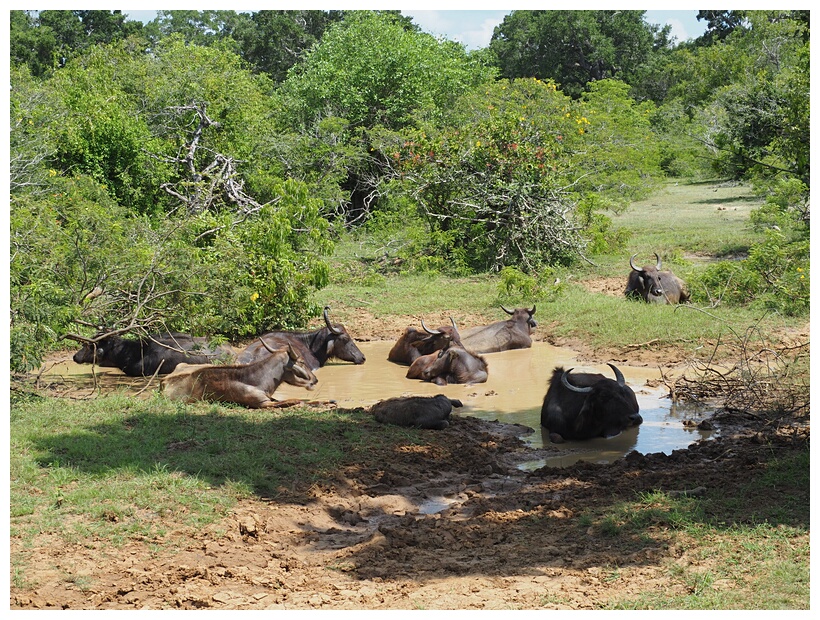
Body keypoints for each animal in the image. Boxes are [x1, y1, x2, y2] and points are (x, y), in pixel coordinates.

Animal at [160, 342, 318, 410]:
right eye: (301, 361)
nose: (315, 380)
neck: (255, 379)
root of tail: (163, 381)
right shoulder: (263, 403)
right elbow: (295, 400)